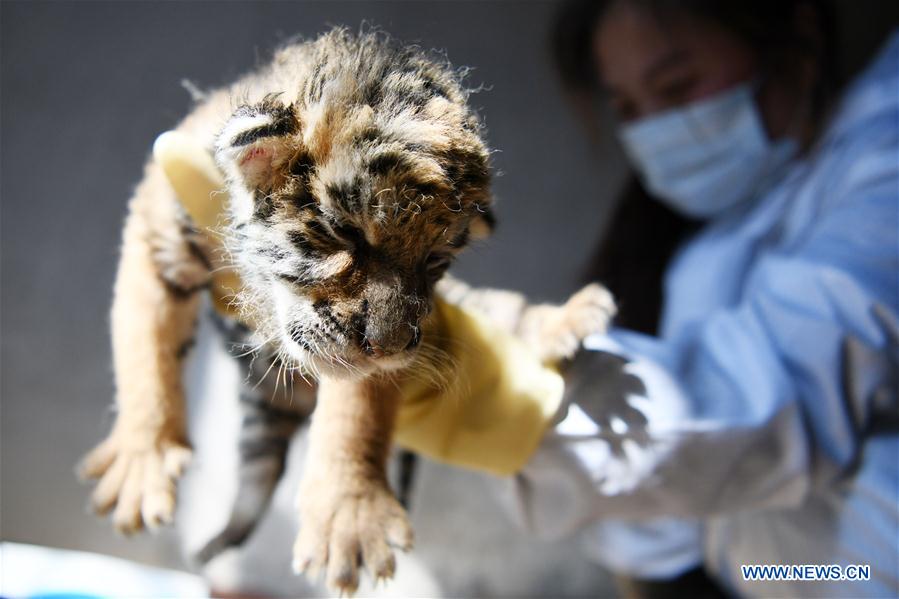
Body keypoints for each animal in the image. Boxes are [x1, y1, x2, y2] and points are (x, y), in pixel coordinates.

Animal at [78, 27, 615, 594]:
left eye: (435, 260)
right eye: (346, 234)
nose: (391, 346)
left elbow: (359, 408)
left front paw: (350, 517)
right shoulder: (157, 229)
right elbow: (145, 351)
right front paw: (141, 465)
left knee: (499, 309)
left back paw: (574, 319)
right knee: (257, 478)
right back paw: (212, 549)